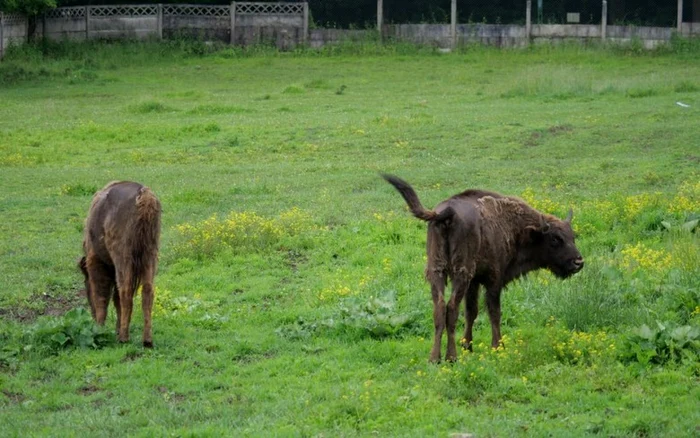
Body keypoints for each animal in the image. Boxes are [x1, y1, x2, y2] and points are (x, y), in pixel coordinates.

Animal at [78, 181, 162, 346]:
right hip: (150, 255)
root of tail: (144, 194)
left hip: (123, 257)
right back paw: (147, 340)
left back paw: (124, 337)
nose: (92, 316)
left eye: (86, 284)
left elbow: (102, 296)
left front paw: (100, 328)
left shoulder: (97, 261)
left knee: (125, 291)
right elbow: (115, 298)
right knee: (147, 291)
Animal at [380, 175, 584, 362]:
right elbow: (494, 312)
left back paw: (434, 358)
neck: (515, 226)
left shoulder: (474, 282)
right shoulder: (493, 280)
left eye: (572, 236)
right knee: (451, 308)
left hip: (436, 271)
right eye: (555, 239)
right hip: (460, 274)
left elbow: (471, 312)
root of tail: (446, 214)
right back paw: (451, 357)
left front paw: (468, 346)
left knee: (439, 308)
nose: (578, 262)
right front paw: (498, 346)